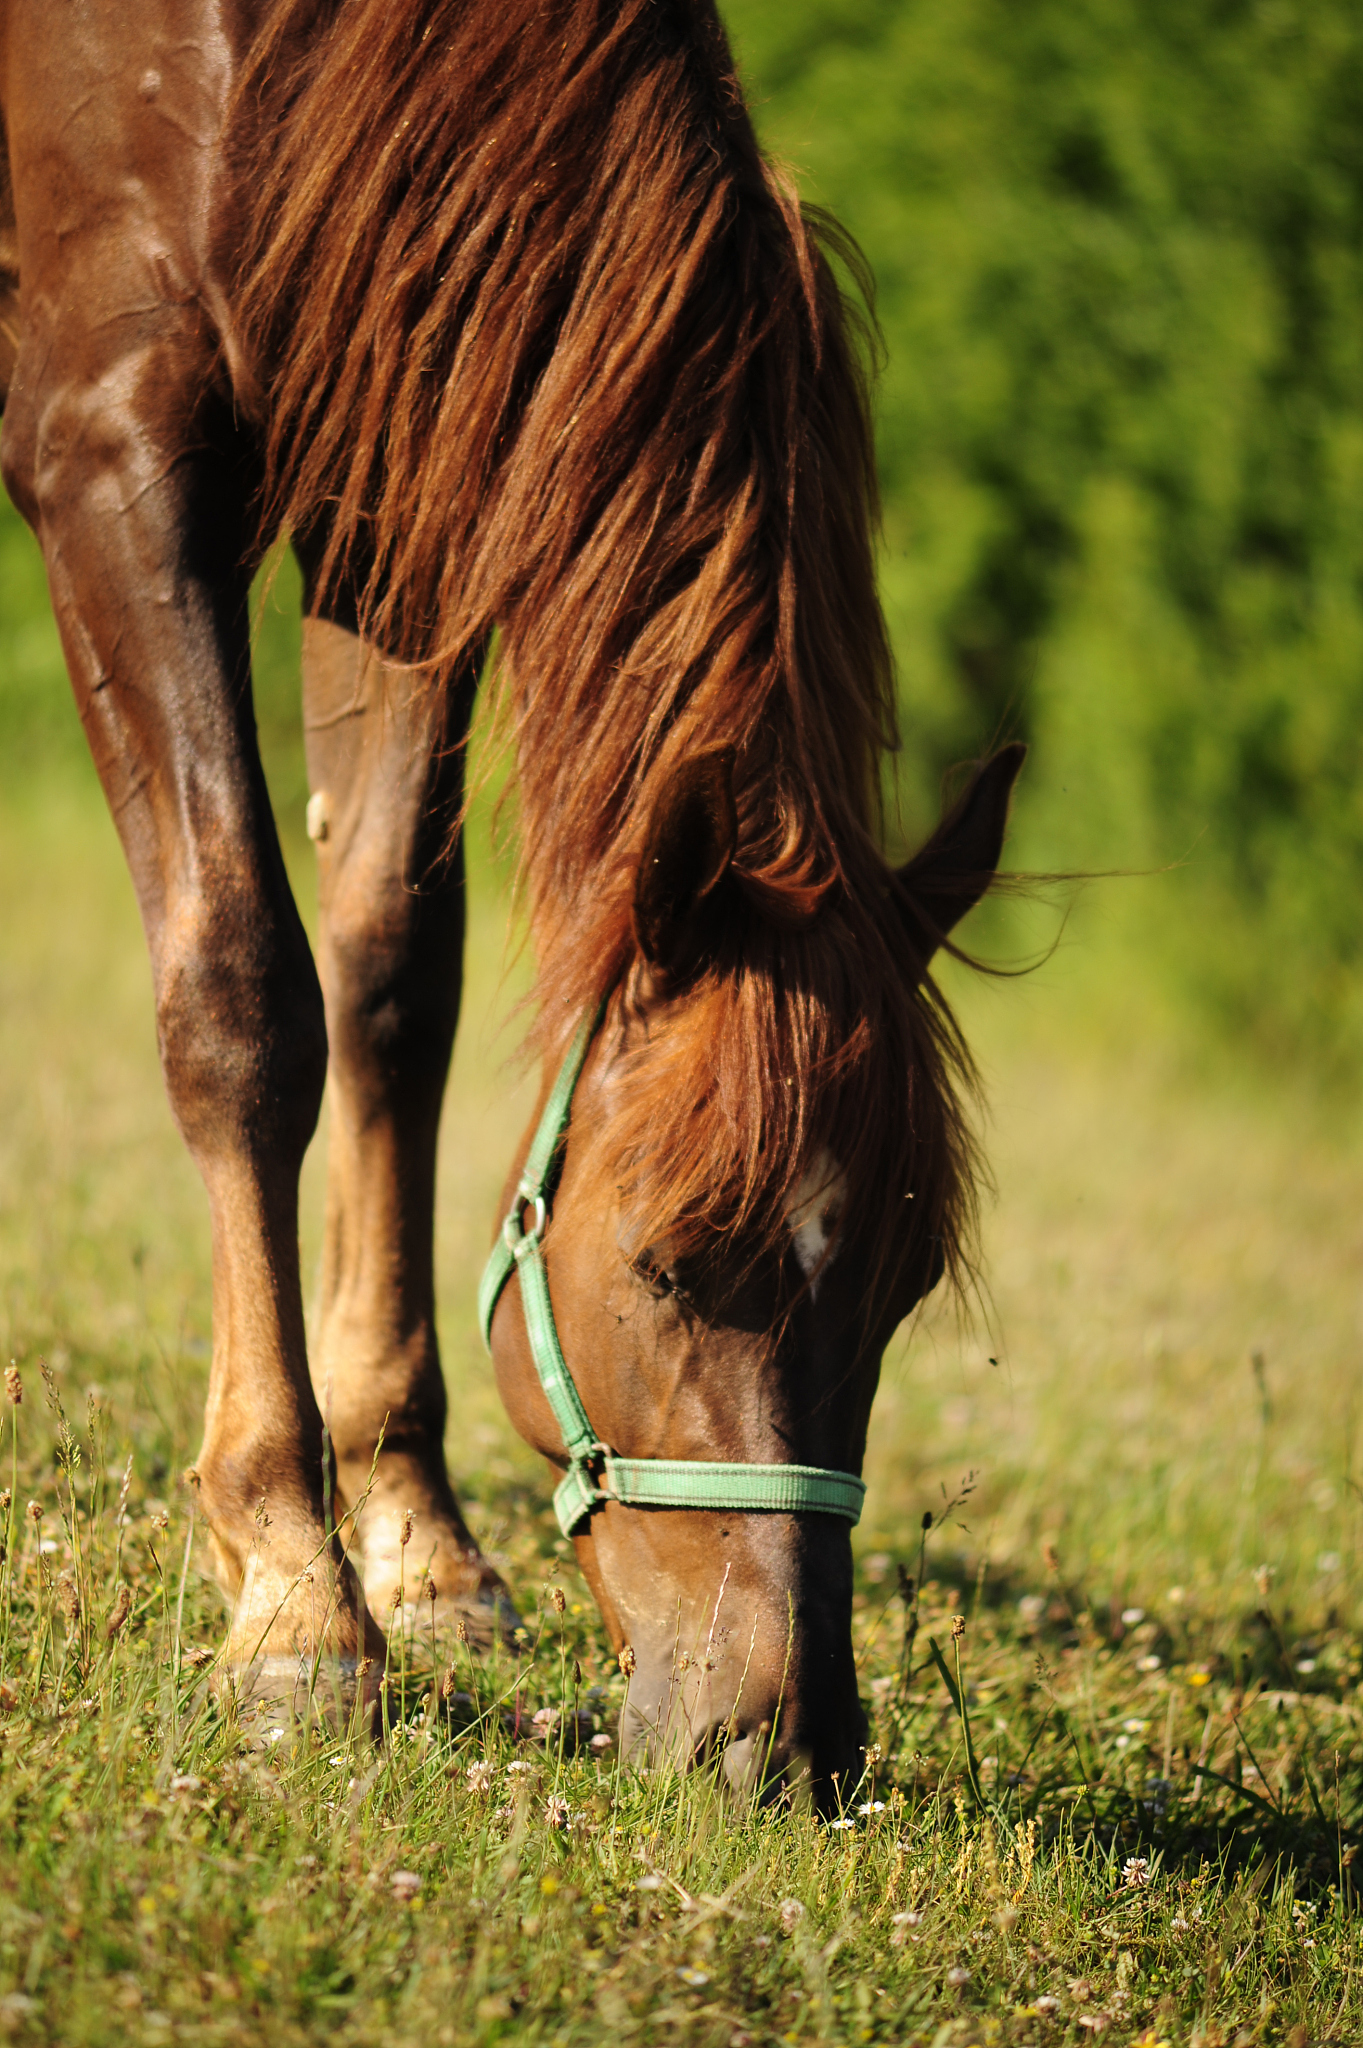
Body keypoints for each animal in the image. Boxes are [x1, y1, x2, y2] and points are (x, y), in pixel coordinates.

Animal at [0, 0, 1022, 1800]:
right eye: (674, 1265)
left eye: (899, 1283)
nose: (783, 1747)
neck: (245, 60)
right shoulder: (112, 453)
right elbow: (242, 993)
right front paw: (293, 1587)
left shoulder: (401, 510)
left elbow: (393, 980)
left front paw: (414, 1539)